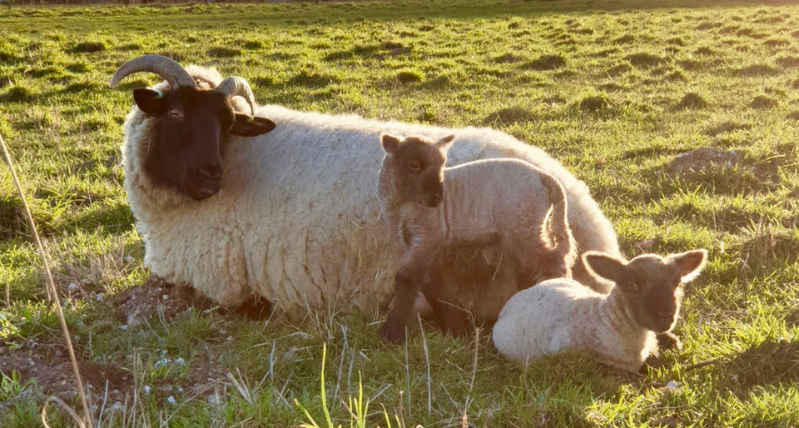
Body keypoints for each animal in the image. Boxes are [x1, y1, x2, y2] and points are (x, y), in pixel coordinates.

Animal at [378, 133, 580, 342]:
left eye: (442, 163)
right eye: (413, 164)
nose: (438, 197)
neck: (402, 205)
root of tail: (545, 178)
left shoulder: (428, 234)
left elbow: (406, 278)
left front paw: (391, 333)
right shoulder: (414, 242)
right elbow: (430, 281)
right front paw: (456, 328)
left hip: (525, 226)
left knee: (553, 262)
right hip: (528, 228)